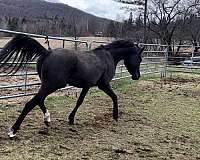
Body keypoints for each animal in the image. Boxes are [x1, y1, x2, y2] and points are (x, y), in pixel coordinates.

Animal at [0, 34, 144, 138]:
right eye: (139, 58)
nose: (137, 76)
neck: (108, 57)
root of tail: (48, 53)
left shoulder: (87, 85)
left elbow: (80, 101)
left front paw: (71, 119)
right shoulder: (103, 84)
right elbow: (114, 96)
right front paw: (115, 116)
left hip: (47, 84)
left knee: (39, 100)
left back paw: (47, 120)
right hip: (52, 84)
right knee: (31, 103)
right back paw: (13, 130)